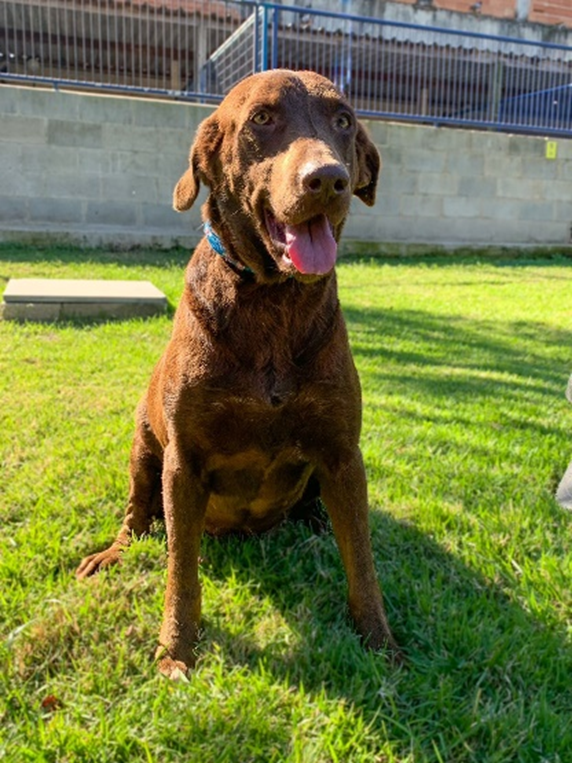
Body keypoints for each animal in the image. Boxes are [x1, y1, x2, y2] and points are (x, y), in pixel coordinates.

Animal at [76, 67, 398, 676]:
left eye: (344, 120)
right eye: (263, 118)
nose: (329, 179)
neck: (271, 300)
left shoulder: (344, 454)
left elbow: (364, 562)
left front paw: (380, 642)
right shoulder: (183, 462)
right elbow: (180, 571)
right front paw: (176, 649)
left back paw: (314, 525)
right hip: (143, 449)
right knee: (138, 517)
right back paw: (112, 552)